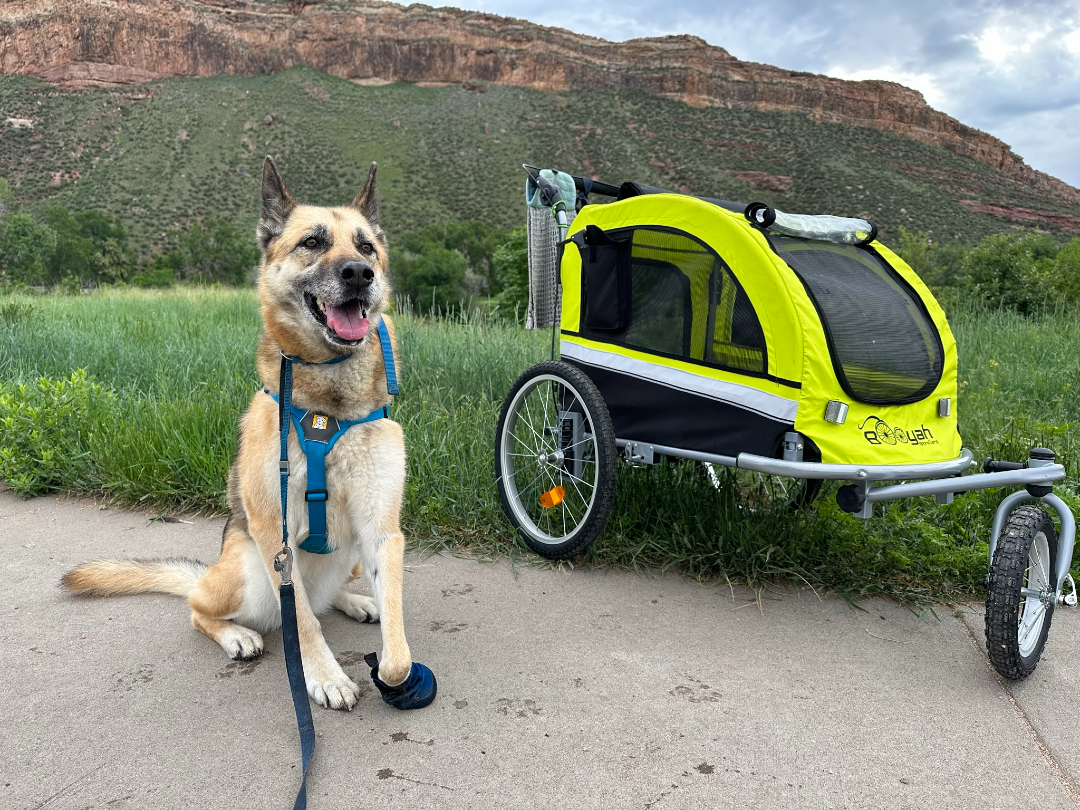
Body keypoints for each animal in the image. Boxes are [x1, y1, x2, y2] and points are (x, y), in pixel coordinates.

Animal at [61, 156, 412, 708]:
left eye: (366, 248)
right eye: (312, 242)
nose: (360, 274)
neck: (326, 407)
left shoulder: (381, 531)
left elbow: (397, 654)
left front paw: (391, 663)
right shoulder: (274, 535)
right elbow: (303, 624)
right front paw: (326, 676)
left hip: (349, 557)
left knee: (326, 598)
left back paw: (355, 601)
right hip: (248, 573)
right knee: (204, 610)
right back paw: (237, 636)